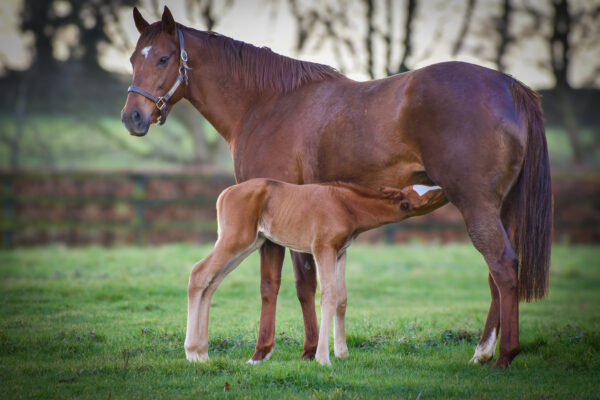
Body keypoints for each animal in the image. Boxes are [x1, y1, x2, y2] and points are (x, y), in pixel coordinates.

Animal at [185, 179, 442, 366]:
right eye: (429, 197)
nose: (443, 188)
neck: (345, 206)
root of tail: (226, 192)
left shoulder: (340, 253)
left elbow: (342, 299)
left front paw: (342, 353)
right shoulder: (322, 249)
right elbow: (328, 296)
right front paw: (323, 358)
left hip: (250, 244)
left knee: (212, 282)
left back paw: (203, 353)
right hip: (235, 240)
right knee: (199, 273)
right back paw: (191, 352)